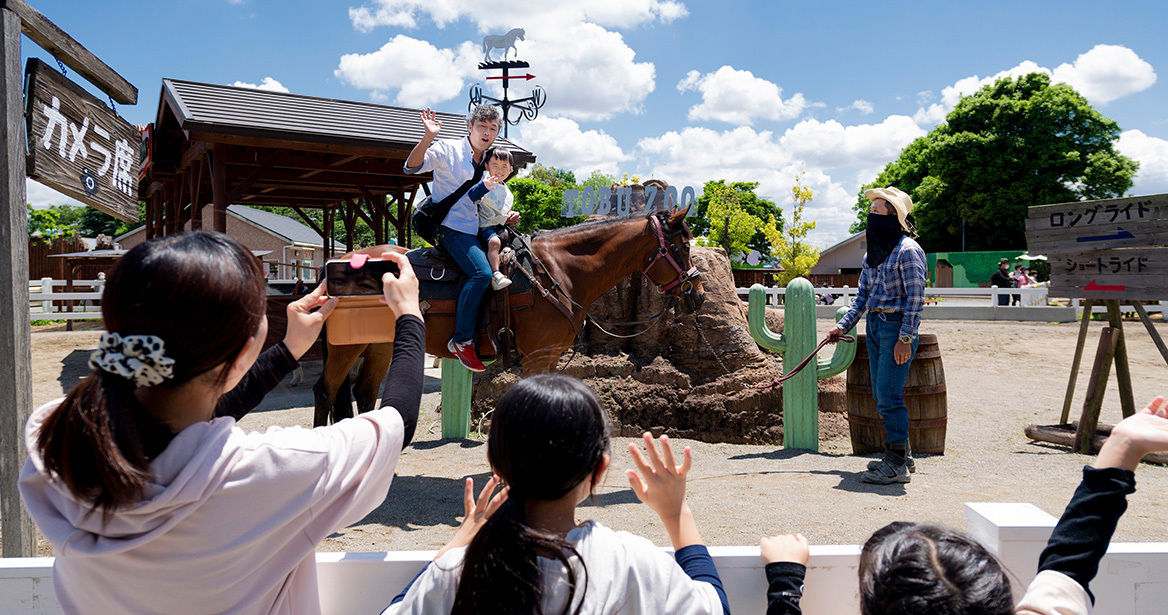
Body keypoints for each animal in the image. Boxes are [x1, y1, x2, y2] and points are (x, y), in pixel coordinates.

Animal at [310, 206, 705, 429]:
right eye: (684, 246)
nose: (698, 294)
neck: (557, 270)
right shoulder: (537, 355)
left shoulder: (548, 356)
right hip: (346, 347)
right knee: (326, 392)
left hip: (378, 346)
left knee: (364, 392)